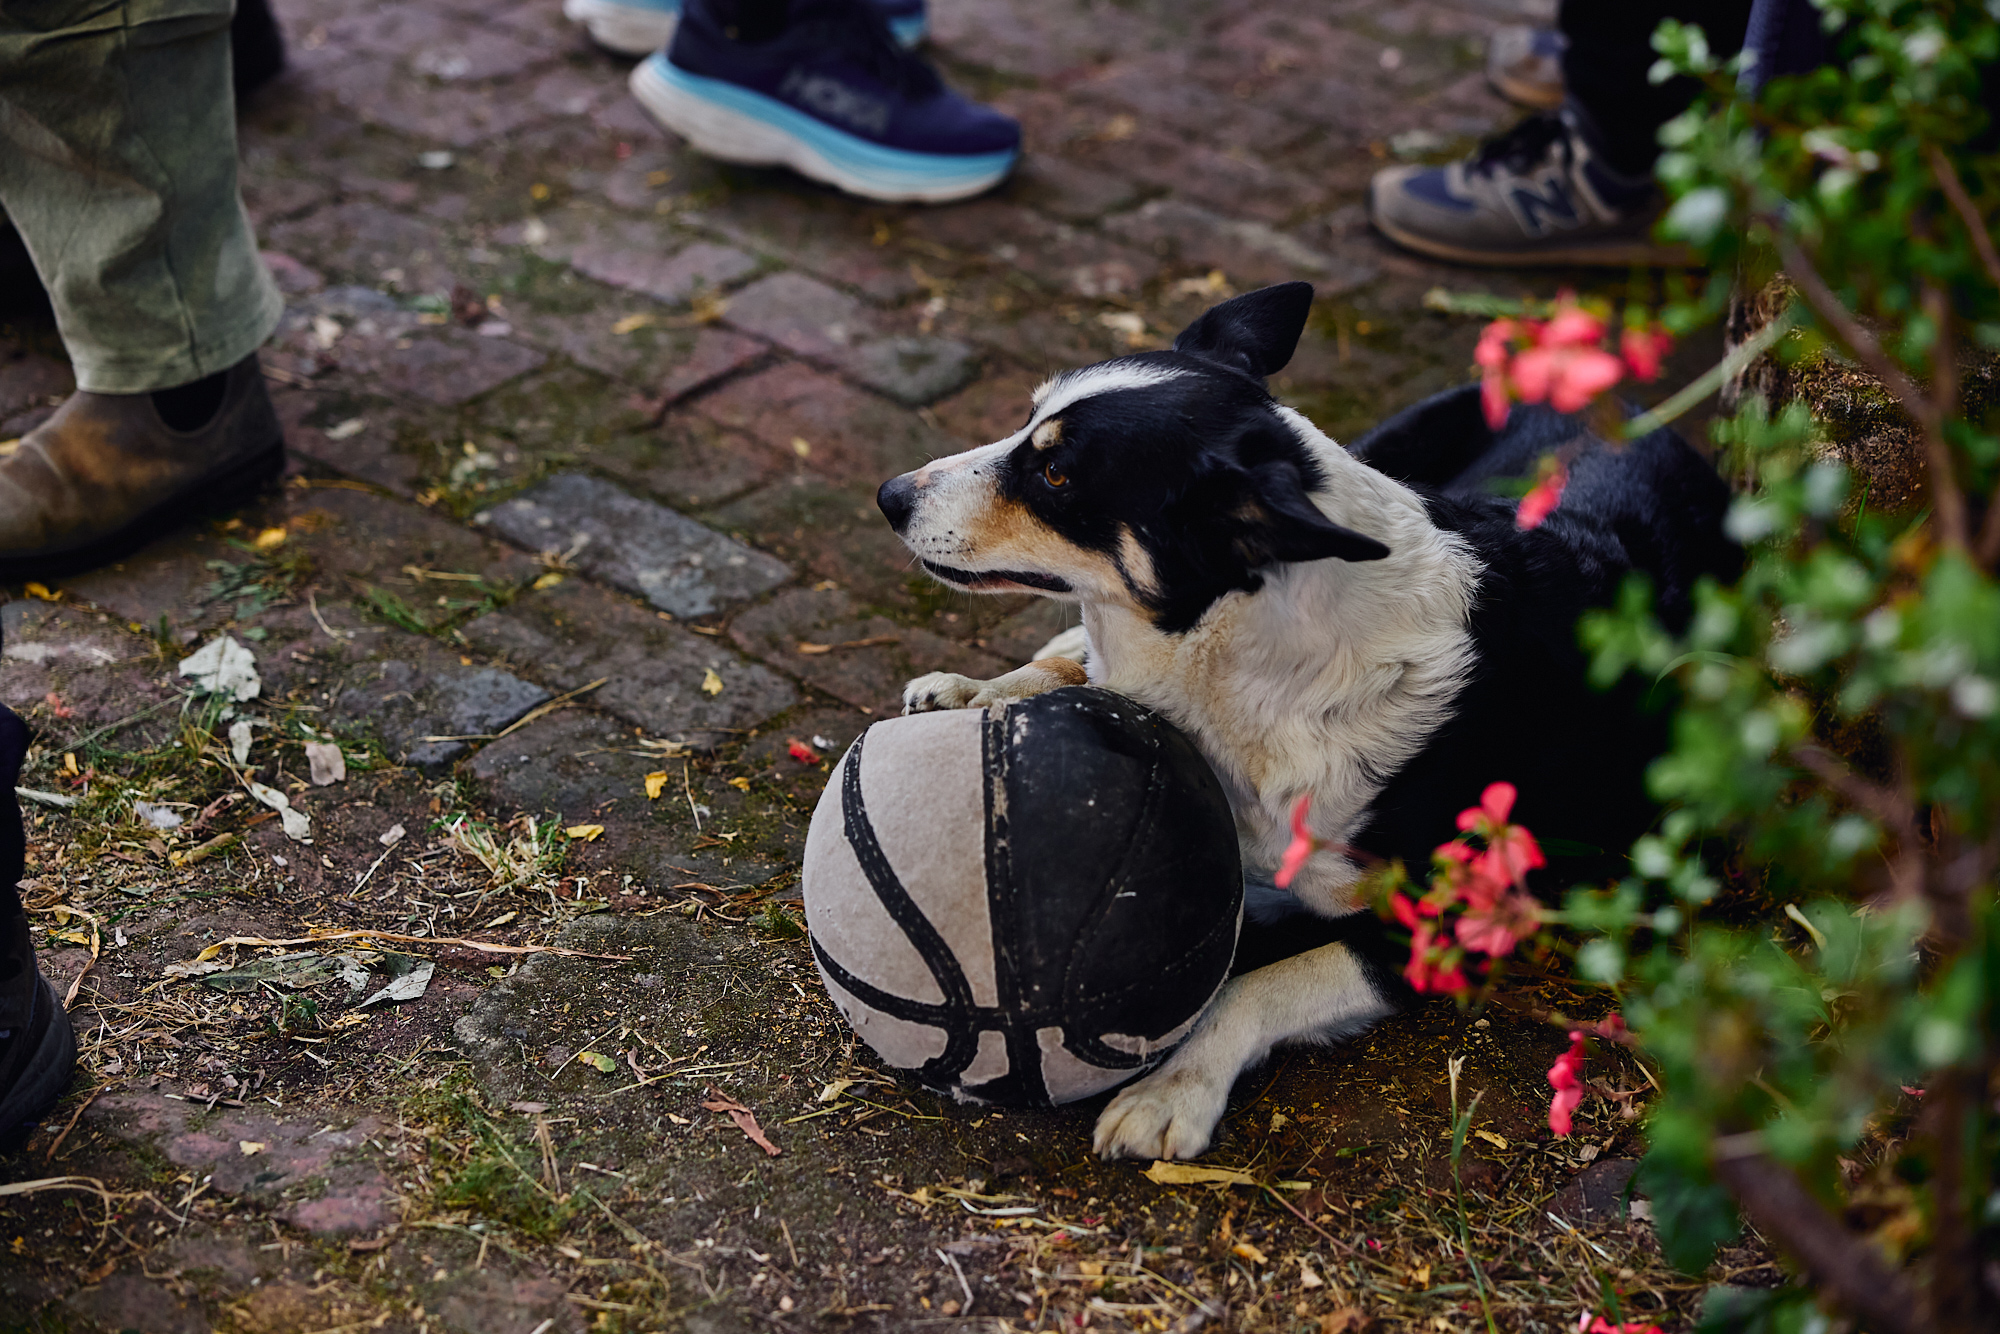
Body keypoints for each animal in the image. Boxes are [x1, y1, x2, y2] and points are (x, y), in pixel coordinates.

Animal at [876, 282, 1736, 1160]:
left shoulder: (1440, 931)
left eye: (1053, 472)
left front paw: (1172, 1091)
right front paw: (986, 689)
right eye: (1027, 422)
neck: (1248, 662)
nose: (890, 497)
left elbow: (1254, 986)